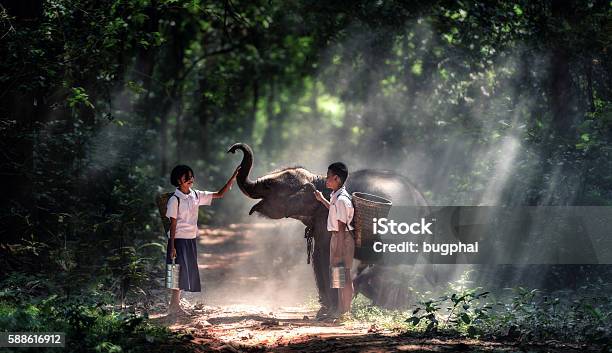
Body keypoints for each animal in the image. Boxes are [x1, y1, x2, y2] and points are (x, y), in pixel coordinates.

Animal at [226, 142, 430, 312]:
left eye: (269, 185)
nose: (232, 150)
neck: (317, 178)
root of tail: (421, 200)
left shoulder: (327, 217)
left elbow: (324, 254)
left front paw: (329, 310)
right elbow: (317, 256)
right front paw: (325, 309)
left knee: (391, 266)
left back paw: (385, 306)